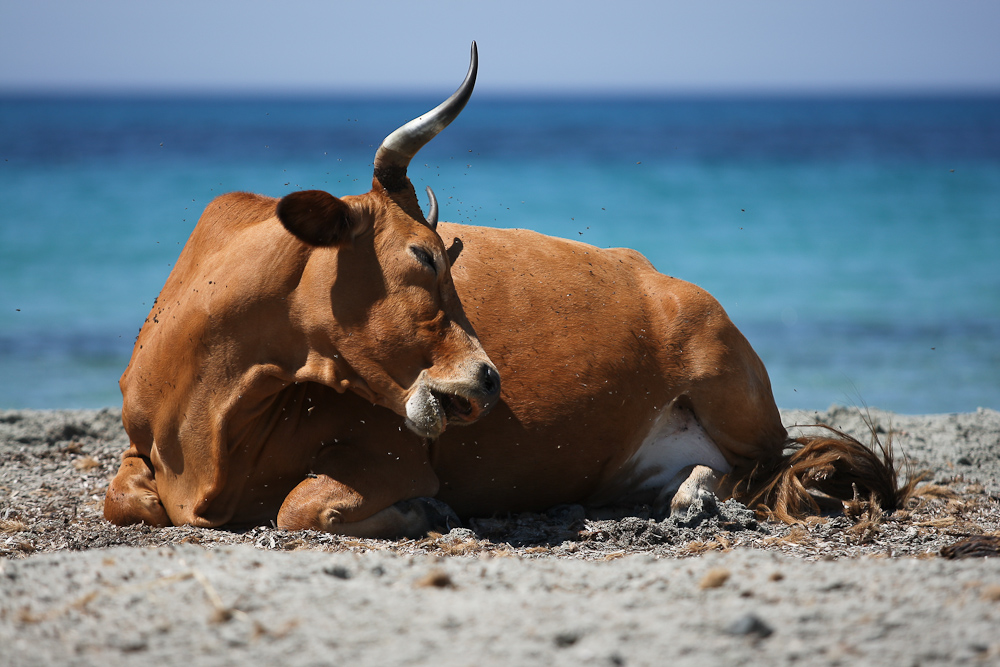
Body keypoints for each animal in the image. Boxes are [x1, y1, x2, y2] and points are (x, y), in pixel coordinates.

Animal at [105, 44, 912, 540]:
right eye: (423, 256)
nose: (490, 379)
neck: (208, 409)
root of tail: (663, 279)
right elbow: (125, 499)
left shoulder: (390, 449)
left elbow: (299, 506)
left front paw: (423, 509)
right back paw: (686, 494)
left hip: (729, 386)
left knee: (766, 469)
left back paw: (699, 499)